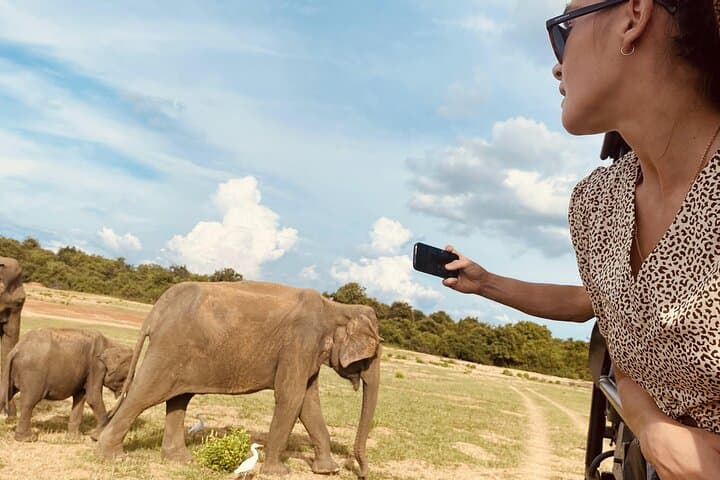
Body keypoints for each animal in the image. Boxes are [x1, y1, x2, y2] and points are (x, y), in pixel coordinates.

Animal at [1, 328, 133, 441]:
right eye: (127, 376)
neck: (111, 343)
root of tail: (16, 349)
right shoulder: (96, 366)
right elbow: (93, 397)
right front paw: (96, 437)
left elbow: (80, 398)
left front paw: (75, 439)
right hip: (33, 373)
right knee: (30, 402)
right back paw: (28, 439)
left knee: (4, 394)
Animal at [96, 281, 382, 479]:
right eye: (374, 354)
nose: (362, 473)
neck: (336, 307)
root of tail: (156, 310)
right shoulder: (299, 344)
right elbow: (291, 398)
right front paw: (279, 473)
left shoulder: (308, 353)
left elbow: (308, 403)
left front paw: (328, 471)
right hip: (169, 349)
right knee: (145, 394)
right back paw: (112, 456)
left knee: (179, 399)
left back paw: (180, 460)